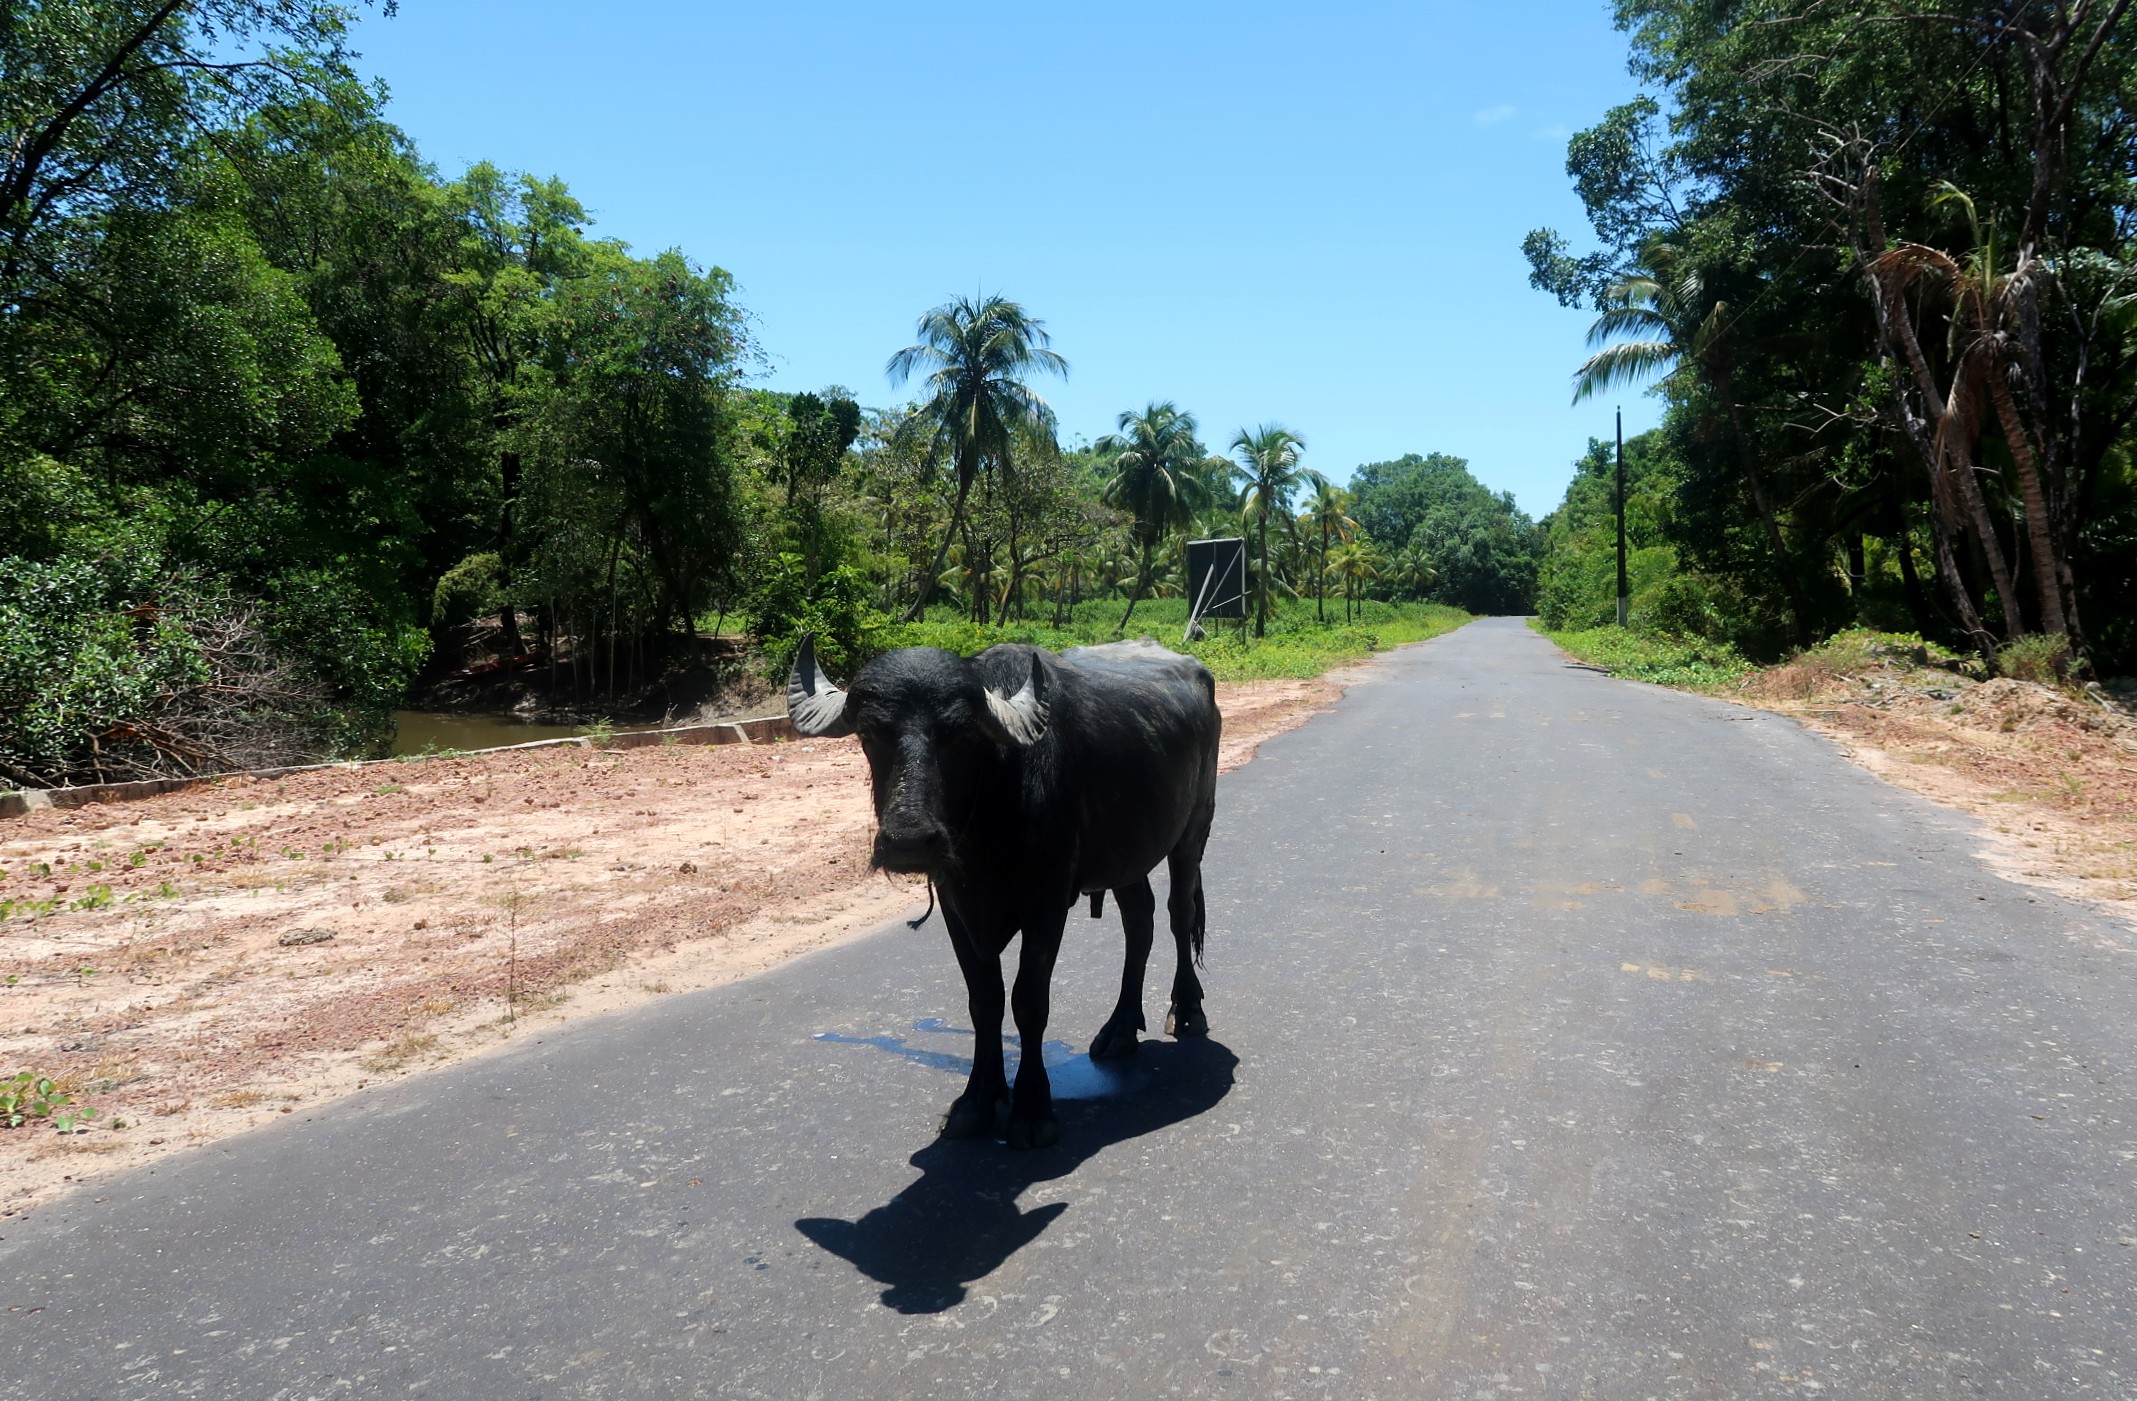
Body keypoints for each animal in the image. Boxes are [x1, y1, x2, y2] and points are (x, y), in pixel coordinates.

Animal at [786, 636, 1222, 1153]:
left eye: (959, 736)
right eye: (872, 734)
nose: (910, 841)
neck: (991, 822)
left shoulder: (1048, 905)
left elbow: (1029, 1002)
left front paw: (1032, 1108)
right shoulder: (956, 907)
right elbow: (985, 1001)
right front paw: (978, 1098)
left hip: (1194, 829)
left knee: (1179, 914)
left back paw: (1187, 1009)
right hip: (1126, 856)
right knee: (1140, 922)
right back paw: (1119, 1029)